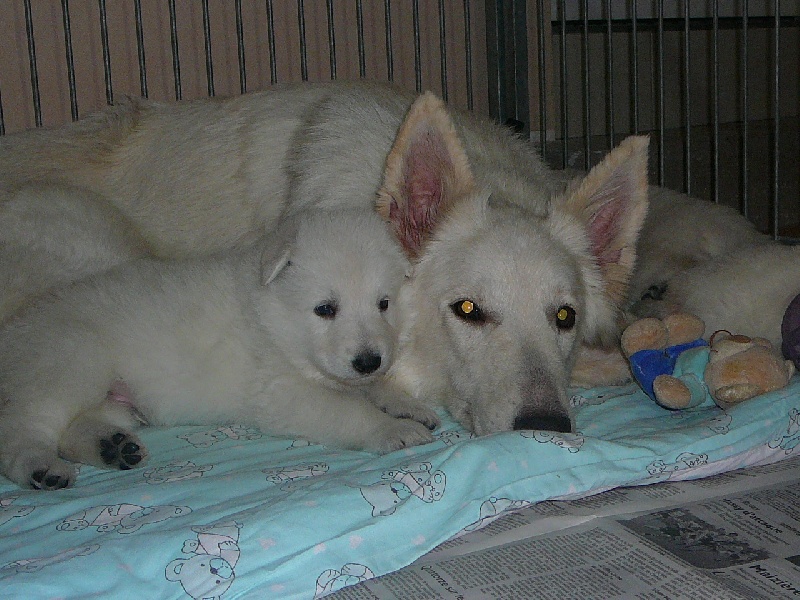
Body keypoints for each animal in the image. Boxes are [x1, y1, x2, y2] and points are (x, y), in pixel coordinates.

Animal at [0, 209, 438, 490]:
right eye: (325, 309)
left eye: (384, 303)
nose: (368, 361)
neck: (272, 318)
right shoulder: (281, 392)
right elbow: (348, 409)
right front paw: (392, 429)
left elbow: (372, 389)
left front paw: (405, 404)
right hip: (70, 361)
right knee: (22, 427)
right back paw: (40, 467)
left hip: (112, 396)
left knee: (73, 427)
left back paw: (113, 447)